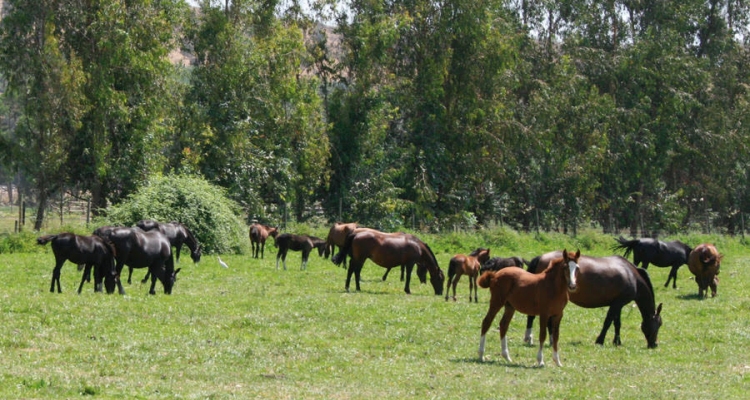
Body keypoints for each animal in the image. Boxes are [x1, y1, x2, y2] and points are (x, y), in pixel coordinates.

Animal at [524, 252, 664, 348]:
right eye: (659, 324)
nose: (654, 344)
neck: (631, 275)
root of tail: (540, 257)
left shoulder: (618, 304)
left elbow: (617, 323)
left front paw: (617, 342)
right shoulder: (617, 304)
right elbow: (608, 322)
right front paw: (600, 340)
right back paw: (532, 338)